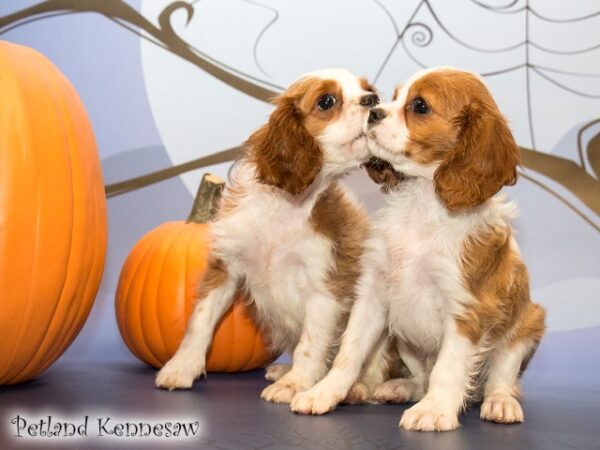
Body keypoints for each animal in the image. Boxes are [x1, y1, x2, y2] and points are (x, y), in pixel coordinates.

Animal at [156, 68, 390, 402]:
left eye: (370, 90)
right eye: (326, 101)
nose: (373, 101)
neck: (286, 207)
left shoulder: (325, 285)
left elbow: (310, 342)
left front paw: (295, 384)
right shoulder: (225, 266)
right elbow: (200, 320)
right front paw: (181, 367)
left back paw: (357, 388)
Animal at [292, 67, 548, 432]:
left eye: (420, 106)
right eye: (393, 97)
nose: (373, 111)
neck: (421, 201)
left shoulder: (467, 308)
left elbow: (448, 366)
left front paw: (436, 410)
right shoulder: (372, 294)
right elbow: (349, 352)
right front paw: (324, 393)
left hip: (526, 325)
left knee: (501, 378)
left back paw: (500, 403)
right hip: (404, 341)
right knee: (422, 377)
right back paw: (399, 387)